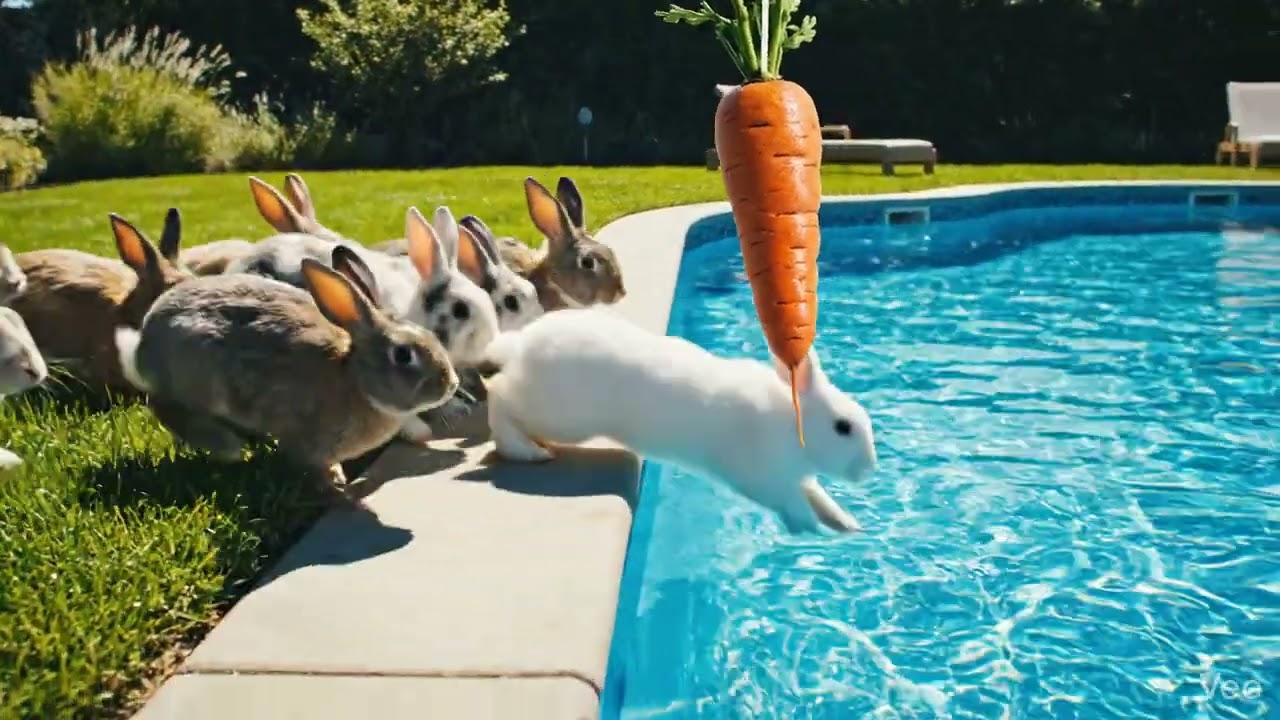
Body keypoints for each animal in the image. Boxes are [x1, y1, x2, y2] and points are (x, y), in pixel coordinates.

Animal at [114, 246, 460, 491]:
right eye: (402, 354)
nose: (451, 383)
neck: (354, 378)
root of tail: (145, 340)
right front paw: (333, 486)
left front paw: (337, 477)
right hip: (198, 377)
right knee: (163, 405)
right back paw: (228, 447)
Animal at [480, 307, 876, 534]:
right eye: (843, 427)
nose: (869, 468)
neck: (790, 425)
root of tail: (521, 347)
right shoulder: (763, 479)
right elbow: (795, 503)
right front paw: (813, 530)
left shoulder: (796, 478)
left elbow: (820, 497)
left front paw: (847, 524)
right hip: (559, 414)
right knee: (499, 400)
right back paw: (531, 452)